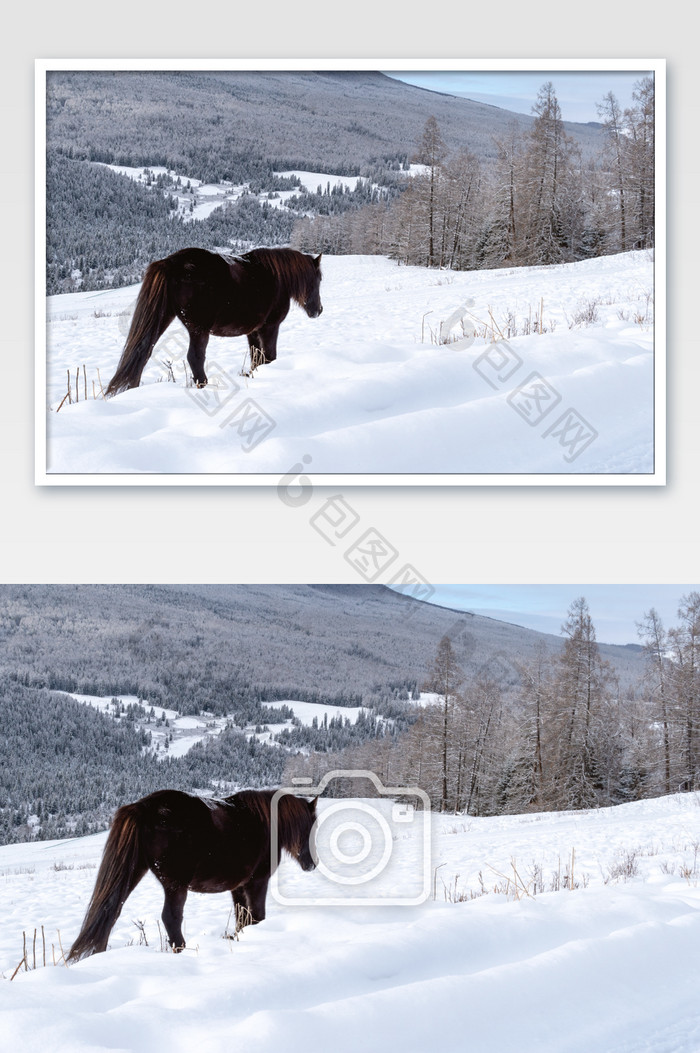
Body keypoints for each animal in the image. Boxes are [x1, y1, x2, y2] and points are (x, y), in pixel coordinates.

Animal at [65, 787, 315, 960]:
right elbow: (256, 916)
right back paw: (182, 950)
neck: (262, 822)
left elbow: (241, 918)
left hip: (135, 872)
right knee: (170, 918)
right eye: (310, 826)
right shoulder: (257, 883)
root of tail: (144, 807)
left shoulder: (237, 888)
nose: (311, 865)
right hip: (175, 885)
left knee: (111, 911)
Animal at [105, 248, 324, 395]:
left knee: (143, 352)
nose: (318, 310)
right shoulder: (270, 327)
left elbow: (256, 358)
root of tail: (170, 263)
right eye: (319, 278)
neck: (276, 277)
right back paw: (204, 386)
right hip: (199, 329)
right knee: (195, 358)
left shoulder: (253, 332)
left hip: (163, 318)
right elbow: (269, 356)